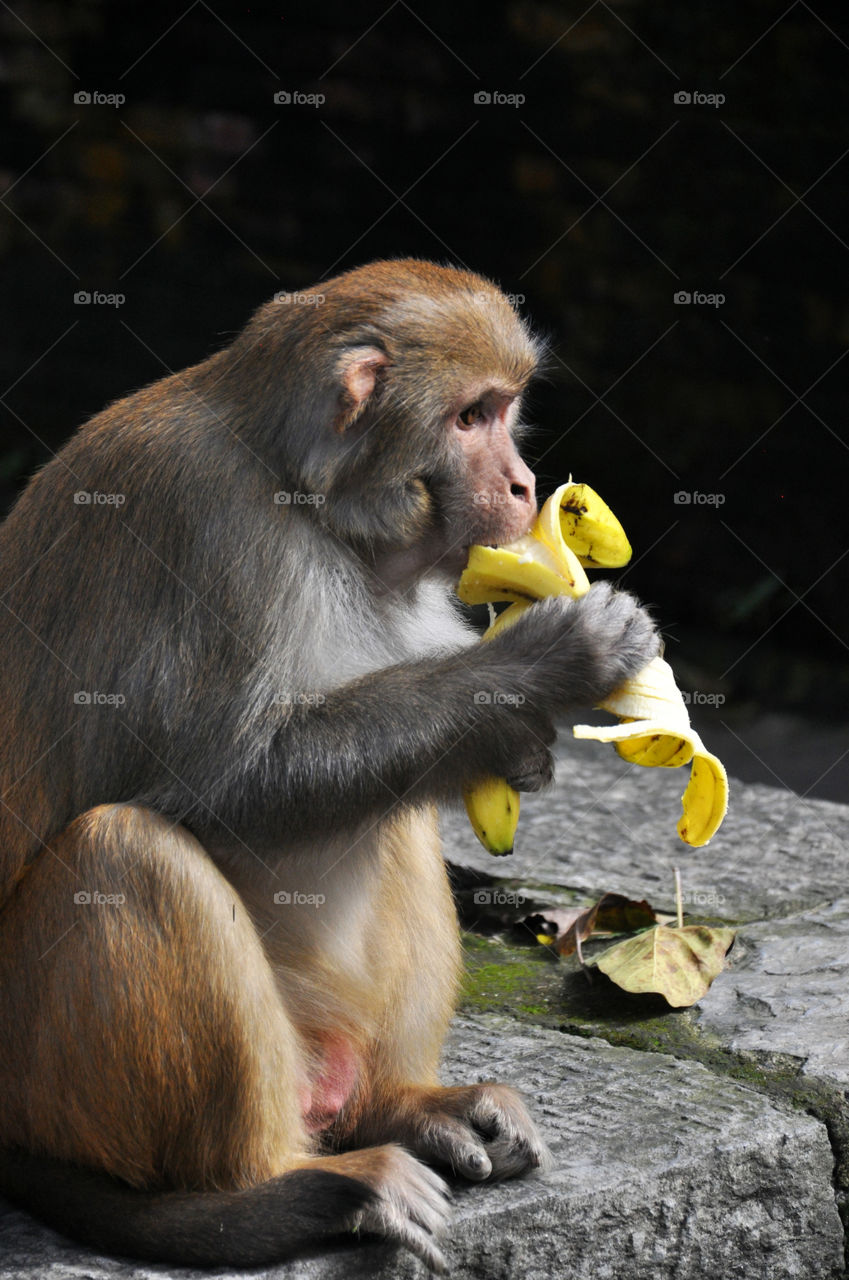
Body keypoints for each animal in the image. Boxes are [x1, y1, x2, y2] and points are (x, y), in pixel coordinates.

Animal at [0, 257, 655, 1269]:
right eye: (470, 417)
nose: (522, 483)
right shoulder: (208, 531)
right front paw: (544, 665)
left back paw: (399, 1107)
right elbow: (220, 783)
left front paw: (512, 736)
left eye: (505, 411)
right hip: (45, 1078)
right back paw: (276, 1188)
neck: (304, 496)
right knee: (124, 849)